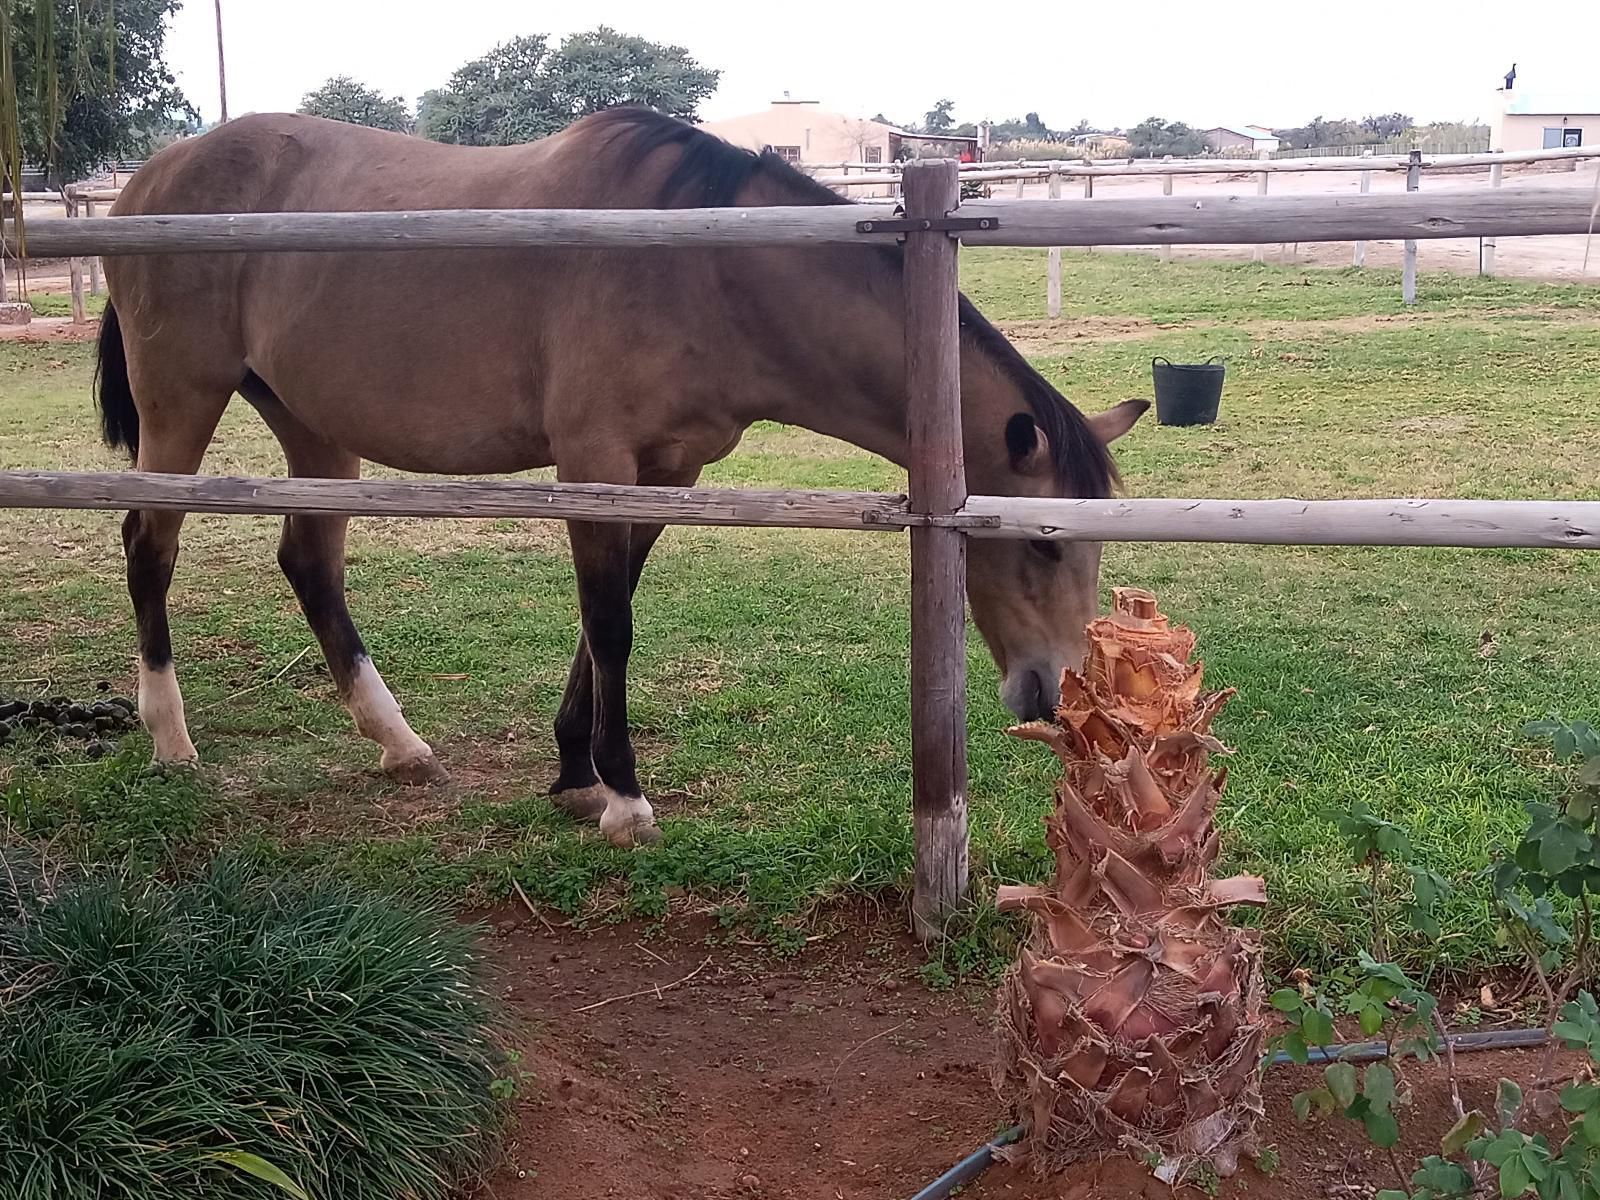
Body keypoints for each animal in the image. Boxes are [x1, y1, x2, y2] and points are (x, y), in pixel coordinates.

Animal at [96, 110, 1152, 844]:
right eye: (1043, 545)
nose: (1055, 695)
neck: (703, 265)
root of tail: (148, 179)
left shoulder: (662, 475)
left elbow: (606, 615)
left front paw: (577, 770)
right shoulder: (594, 462)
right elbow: (611, 622)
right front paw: (625, 797)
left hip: (313, 426)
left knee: (309, 564)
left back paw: (399, 743)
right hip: (181, 401)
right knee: (150, 546)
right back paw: (170, 738)